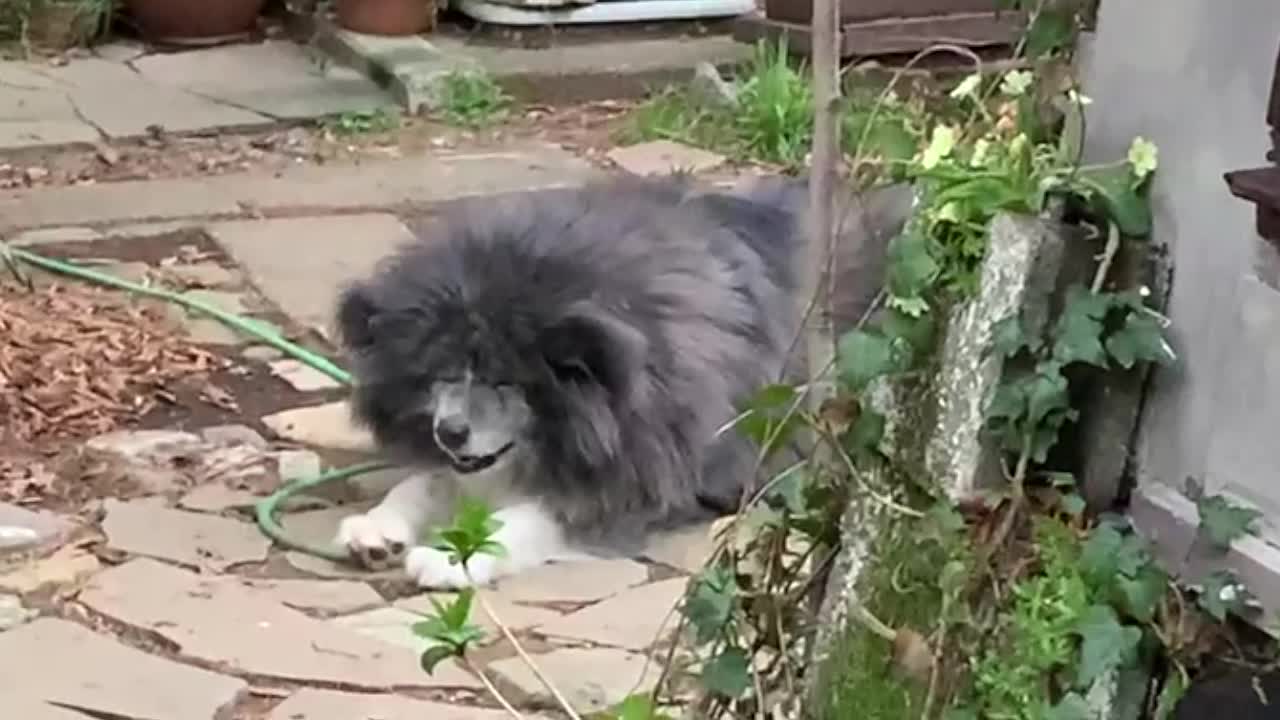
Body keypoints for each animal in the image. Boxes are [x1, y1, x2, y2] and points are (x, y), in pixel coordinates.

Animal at [330, 174, 911, 589]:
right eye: (443, 372)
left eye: (506, 382)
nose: (449, 432)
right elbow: (426, 481)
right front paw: (378, 527)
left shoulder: (659, 477)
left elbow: (535, 514)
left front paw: (454, 558)